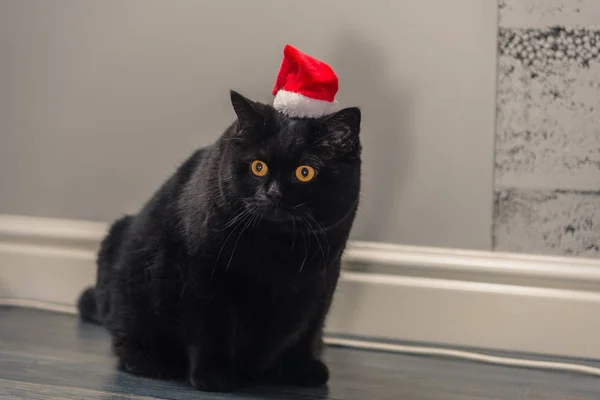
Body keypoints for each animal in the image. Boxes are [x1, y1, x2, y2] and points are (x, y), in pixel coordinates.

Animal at [79, 90, 360, 390]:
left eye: (305, 172)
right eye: (258, 167)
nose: (273, 193)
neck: (276, 252)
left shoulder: (323, 279)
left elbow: (309, 329)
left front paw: (303, 369)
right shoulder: (201, 275)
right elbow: (211, 330)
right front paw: (213, 375)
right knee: (125, 338)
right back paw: (151, 362)